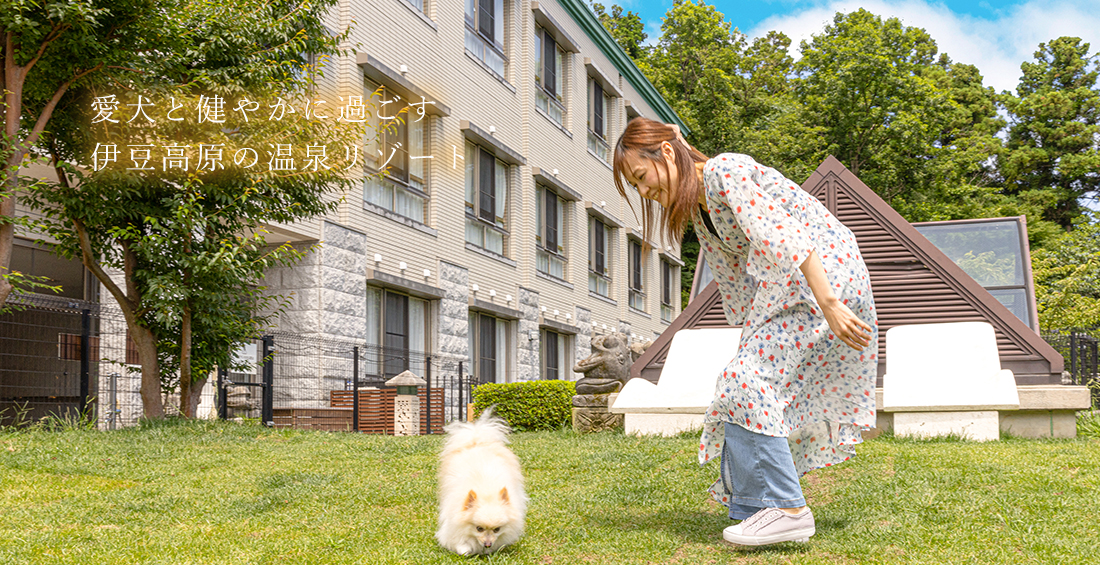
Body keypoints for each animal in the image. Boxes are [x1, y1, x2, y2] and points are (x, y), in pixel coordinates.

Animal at [433, 408, 528, 554]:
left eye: (497, 529)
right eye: (479, 528)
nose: (488, 544)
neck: (486, 493)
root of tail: (476, 440)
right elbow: (461, 546)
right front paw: (466, 548)